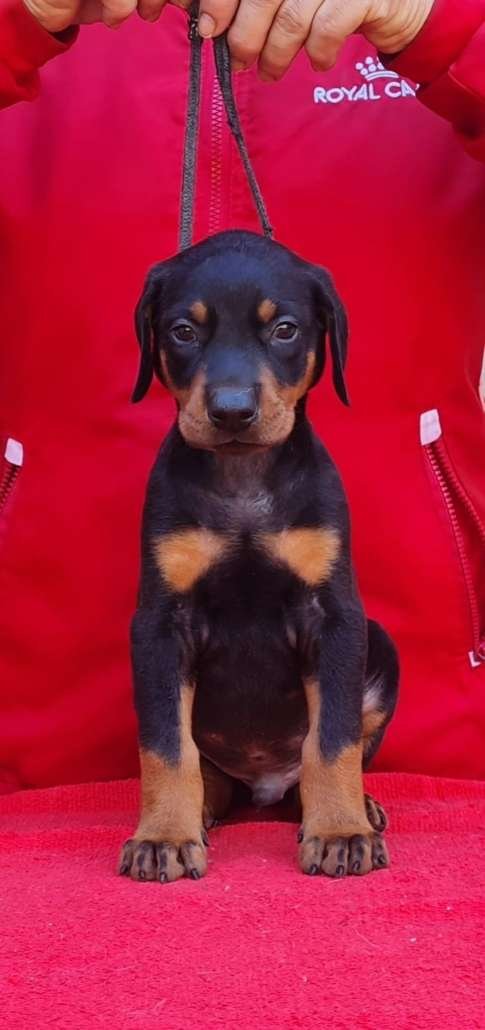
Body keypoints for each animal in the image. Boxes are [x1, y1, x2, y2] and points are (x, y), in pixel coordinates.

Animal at [119, 230, 399, 884]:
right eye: (183, 331)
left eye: (285, 330)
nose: (230, 411)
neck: (242, 479)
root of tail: (264, 784)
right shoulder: (159, 626)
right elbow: (165, 746)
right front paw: (163, 837)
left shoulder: (336, 619)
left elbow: (334, 739)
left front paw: (340, 830)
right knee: (207, 772)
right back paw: (200, 811)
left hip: (380, 645)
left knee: (319, 763)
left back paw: (360, 806)